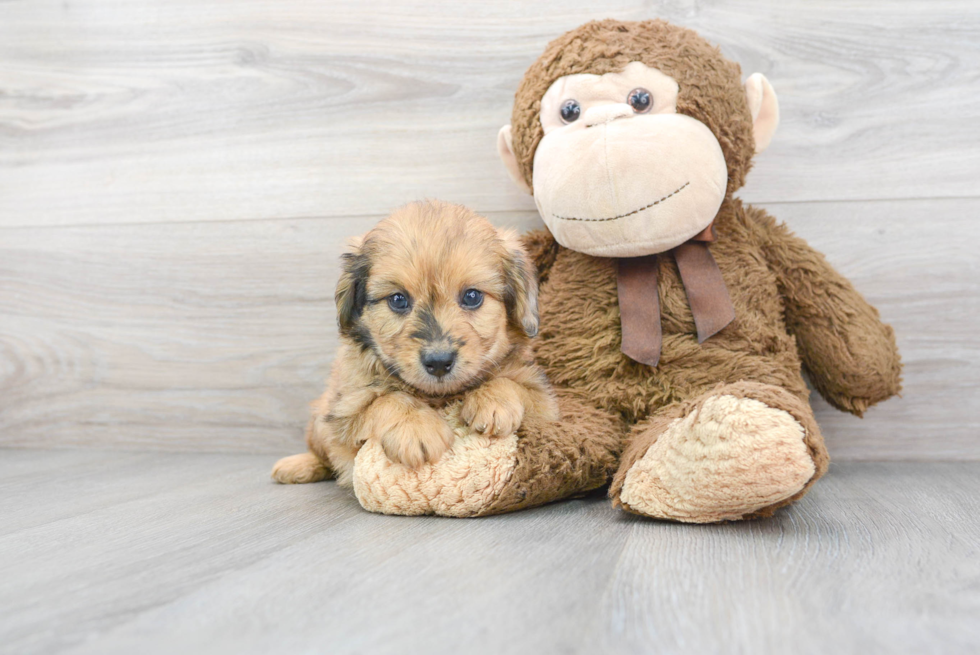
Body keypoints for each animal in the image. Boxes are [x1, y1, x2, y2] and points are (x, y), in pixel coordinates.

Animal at [272, 200, 560, 486]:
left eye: (472, 296)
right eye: (398, 300)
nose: (439, 362)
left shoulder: (545, 403)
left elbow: (513, 384)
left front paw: (492, 400)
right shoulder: (344, 412)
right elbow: (385, 400)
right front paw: (416, 426)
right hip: (319, 421)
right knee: (320, 453)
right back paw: (299, 465)